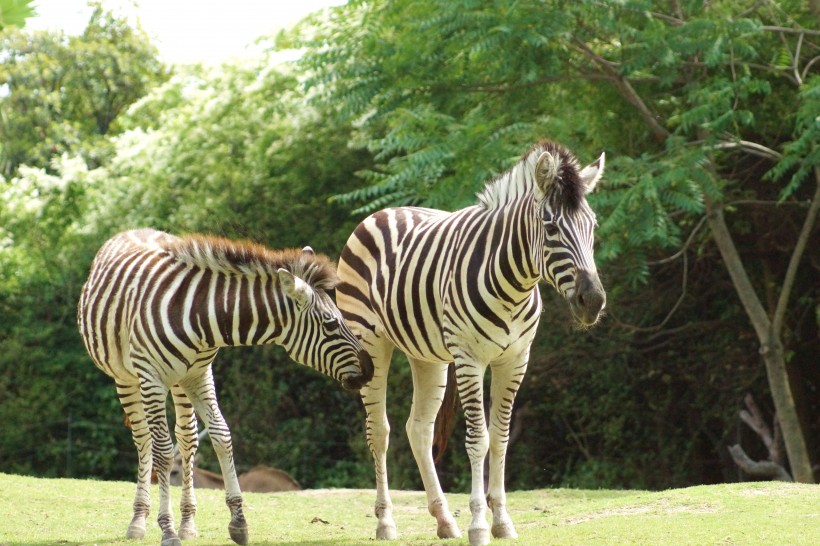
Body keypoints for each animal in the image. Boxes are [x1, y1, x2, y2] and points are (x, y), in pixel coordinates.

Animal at [77, 228, 372, 544]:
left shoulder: (199, 374)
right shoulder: (152, 378)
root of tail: (134, 230)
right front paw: (167, 528)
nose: (369, 369)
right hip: (127, 378)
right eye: (331, 324)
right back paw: (138, 520)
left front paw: (238, 521)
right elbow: (163, 450)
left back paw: (188, 522)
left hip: (180, 382)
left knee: (187, 438)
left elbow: (221, 436)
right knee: (144, 440)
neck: (199, 315)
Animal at [334, 138, 608, 540]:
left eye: (592, 225)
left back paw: (444, 520)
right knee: (379, 431)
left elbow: (501, 437)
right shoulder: (469, 360)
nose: (594, 301)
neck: (514, 288)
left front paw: (502, 521)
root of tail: (383, 212)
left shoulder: (515, 360)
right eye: (551, 226)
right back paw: (386, 522)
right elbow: (478, 439)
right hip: (371, 342)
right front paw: (479, 524)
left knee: (418, 429)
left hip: (427, 356)